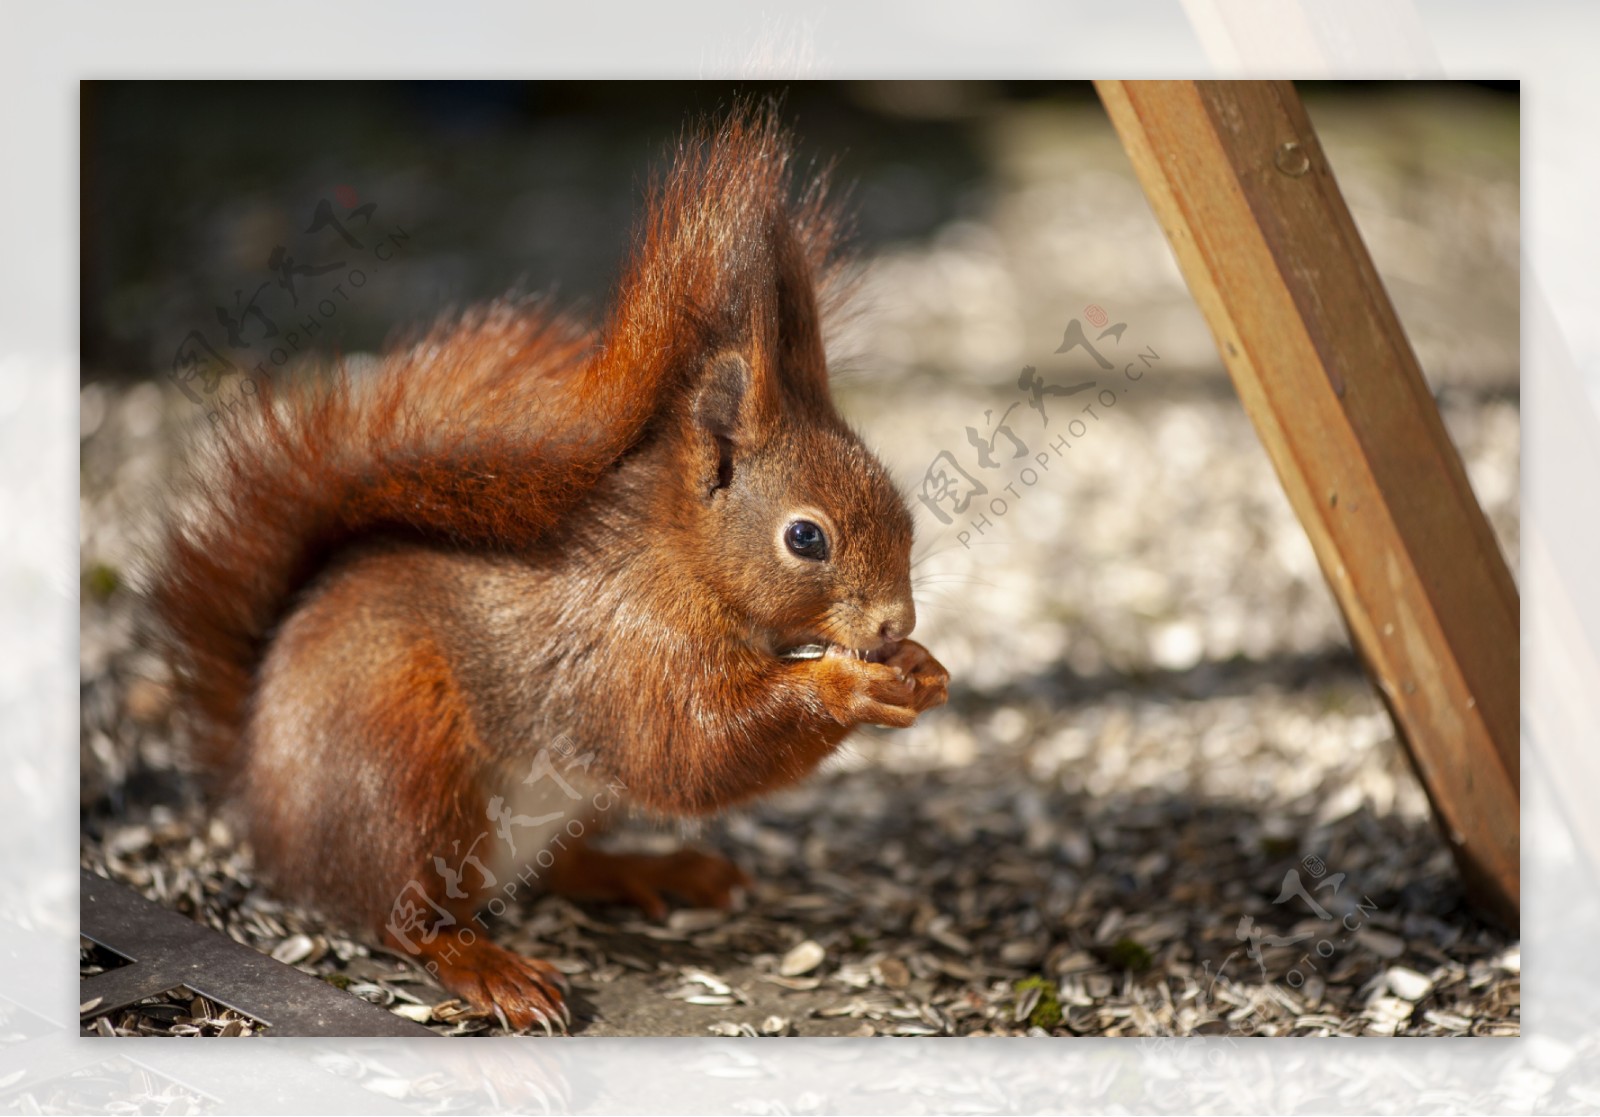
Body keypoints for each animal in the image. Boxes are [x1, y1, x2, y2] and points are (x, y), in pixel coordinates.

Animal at [150, 100, 947, 1030]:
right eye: (807, 538)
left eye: (901, 508)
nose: (896, 622)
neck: (683, 563)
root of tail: (261, 799)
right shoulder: (628, 649)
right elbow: (693, 746)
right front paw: (852, 683)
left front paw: (921, 668)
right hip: (398, 766)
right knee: (406, 913)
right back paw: (491, 966)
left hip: (565, 805)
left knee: (553, 872)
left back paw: (649, 868)